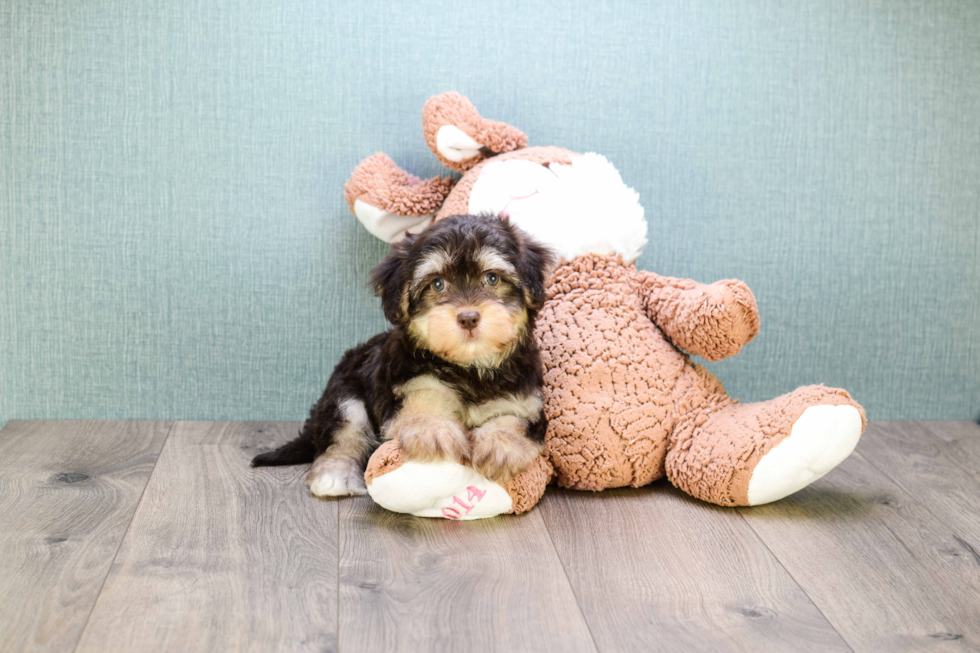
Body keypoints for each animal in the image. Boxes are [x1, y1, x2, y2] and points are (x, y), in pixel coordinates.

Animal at [253, 213, 556, 494]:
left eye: (492, 278)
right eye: (437, 284)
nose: (468, 317)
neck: (470, 367)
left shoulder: (524, 400)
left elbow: (514, 420)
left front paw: (499, 446)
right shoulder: (411, 384)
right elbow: (422, 402)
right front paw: (432, 429)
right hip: (345, 393)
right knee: (342, 434)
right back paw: (334, 476)